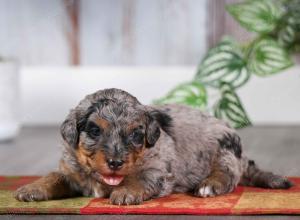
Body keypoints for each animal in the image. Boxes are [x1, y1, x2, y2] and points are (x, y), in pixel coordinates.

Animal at [14, 87, 292, 205]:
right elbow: (54, 176)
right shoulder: (70, 170)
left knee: (227, 175)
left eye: (135, 134)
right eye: (94, 130)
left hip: (224, 152)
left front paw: (126, 192)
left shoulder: (158, 168)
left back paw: (209, 186)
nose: (115, 163)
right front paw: (32, 188)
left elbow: (142, 178)